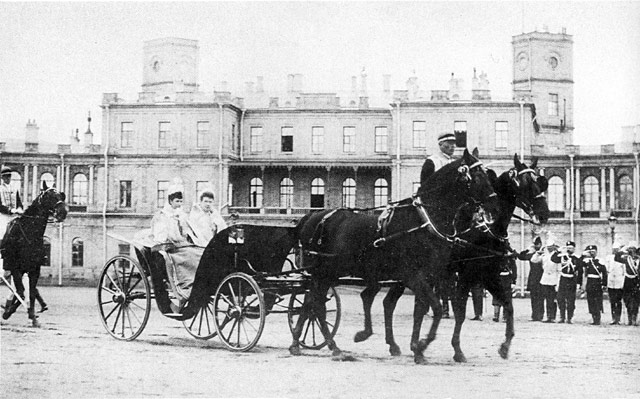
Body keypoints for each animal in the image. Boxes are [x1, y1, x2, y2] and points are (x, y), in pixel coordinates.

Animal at [0, 183, 67, 326]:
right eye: (48, 195)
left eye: (61, 195)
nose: (63, 212)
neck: (28, 233)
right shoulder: (15, 268)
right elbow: (21, 292)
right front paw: (8, 313)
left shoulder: (34, 269)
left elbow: (30, 293)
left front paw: (32, 316)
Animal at [292, 148, 498, 364]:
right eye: (477, 176)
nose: (494, 205)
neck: (423, 222)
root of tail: (313, 216)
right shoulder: (415, 276)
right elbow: (435, 308)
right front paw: (421, 345)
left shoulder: (434, 276)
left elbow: (429, 309)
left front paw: (422, 347)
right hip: (323, 273)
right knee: (316, 304)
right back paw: (330, 345)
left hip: (328, 274)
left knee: (312, 302)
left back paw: (303, 342)